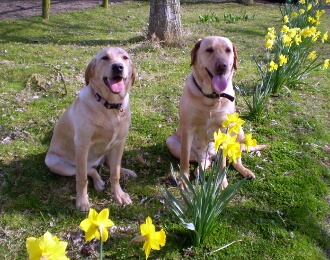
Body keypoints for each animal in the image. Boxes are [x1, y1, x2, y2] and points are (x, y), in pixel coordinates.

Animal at [44, 46, 135, 211]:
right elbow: (82, 178)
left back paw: (126, 171)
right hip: (55, 163)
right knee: (90, 169)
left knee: (109, 165)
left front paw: (119, 195)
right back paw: (98, 181)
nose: (118, 67)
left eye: (125, 57)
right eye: (105, 58)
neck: (109, 106)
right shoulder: (82, 144)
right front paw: (82, 201)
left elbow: (115, 173)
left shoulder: (120, 142)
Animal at [166, 35, 266, 188]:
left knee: (233, 160)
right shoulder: (188, 128)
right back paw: (199, 169)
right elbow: (184, 159)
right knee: (203, 160)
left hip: (238, 131)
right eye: (209, 50)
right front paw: (184, 180)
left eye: (228, 50)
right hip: (171, 142)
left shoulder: (224, 130)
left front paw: (221, 182)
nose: (222, 66)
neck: (212, 97)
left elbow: (223, 163)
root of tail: (210, 154)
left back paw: (246, 171)